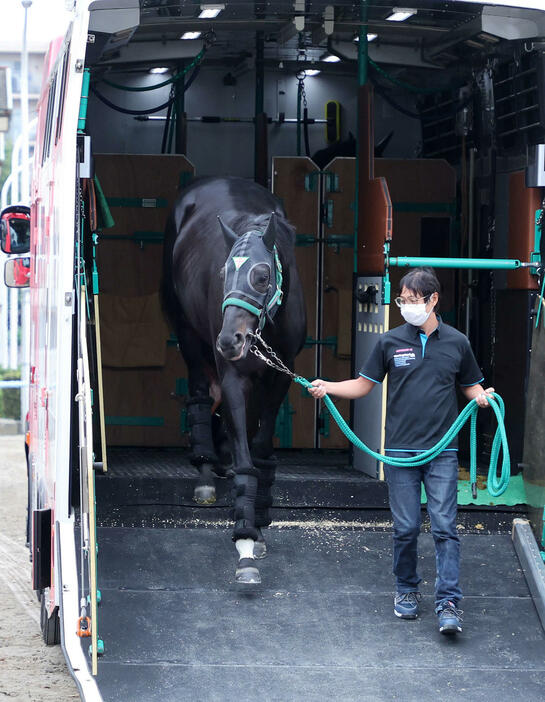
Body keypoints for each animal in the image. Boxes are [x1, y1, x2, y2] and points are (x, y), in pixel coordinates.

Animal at [162, 176, 306, 584]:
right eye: (224, 274)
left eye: (261, 275)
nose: (229, 341)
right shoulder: (234, 377)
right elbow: (245, 454)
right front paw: (244, 539)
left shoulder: (279, 378)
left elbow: (258, 446)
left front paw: (258, 521)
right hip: (189, 337)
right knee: (199, 396)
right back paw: (206, 473)